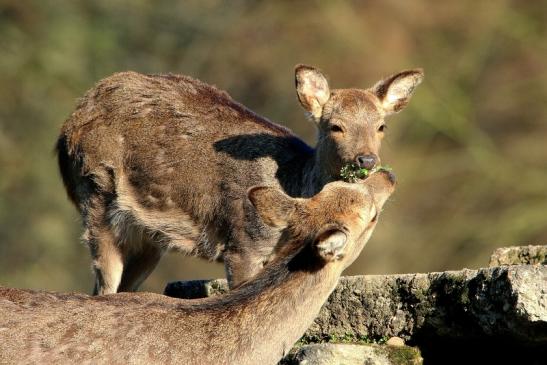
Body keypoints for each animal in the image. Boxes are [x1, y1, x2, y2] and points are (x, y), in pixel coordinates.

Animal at [55, 64, 422, 292]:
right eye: (335, 126)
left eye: (381, 126)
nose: (367, 159)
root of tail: (65, 130)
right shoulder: (243, 243)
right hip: (94, 193)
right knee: (103, 285)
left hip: (149, 235)